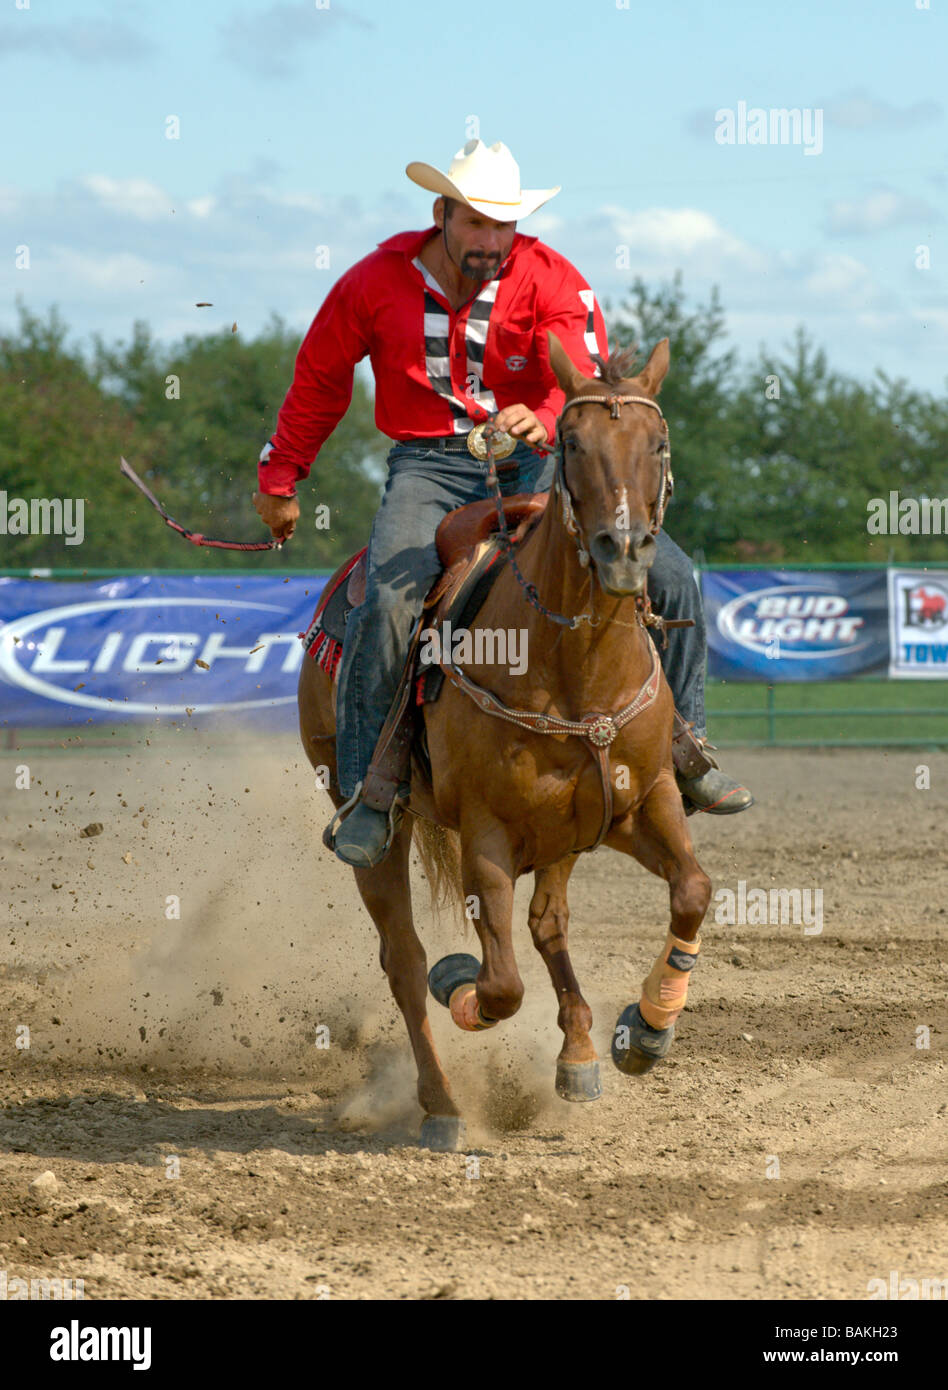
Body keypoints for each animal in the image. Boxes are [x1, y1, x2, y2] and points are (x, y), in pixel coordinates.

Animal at [297, 330, 708, 1145]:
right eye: (574, 442)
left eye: (658, 443)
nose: (622, 550)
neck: (577, 666)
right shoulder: (486, 832)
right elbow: (499, 984)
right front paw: (460, 983)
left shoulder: (642, 802)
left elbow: (691, 891)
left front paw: (646, 1031)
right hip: (376, 820)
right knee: (404, 959)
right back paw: (443, 1105)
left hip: (565, 833)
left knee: (549, 923)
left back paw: (579, 1050)